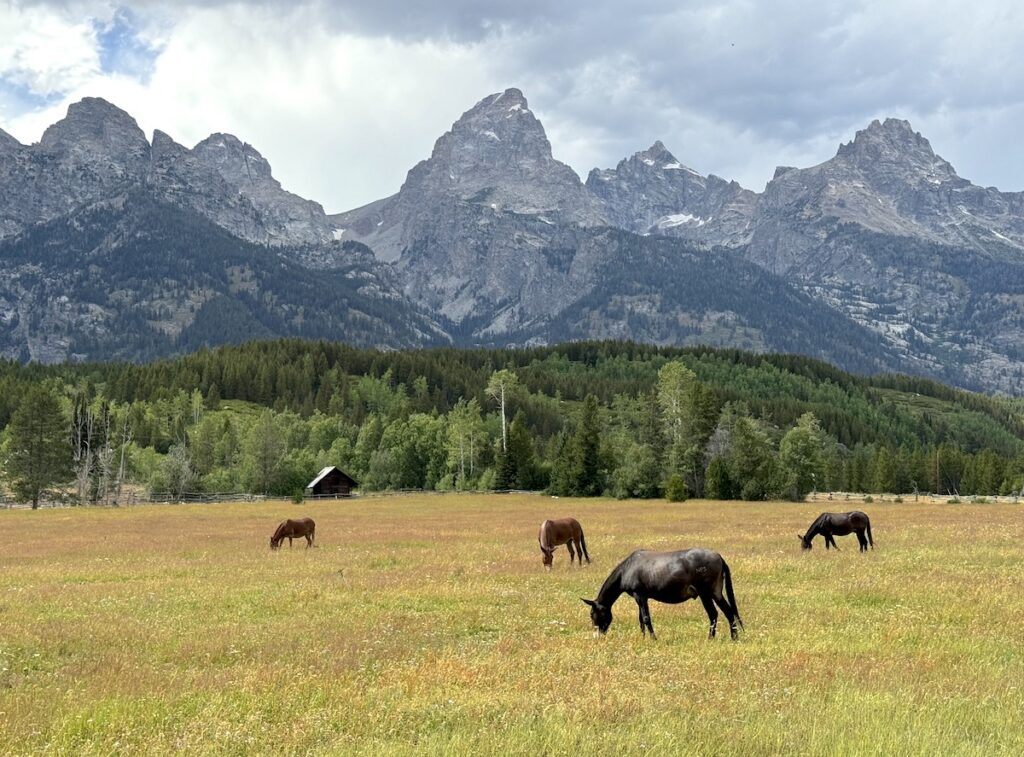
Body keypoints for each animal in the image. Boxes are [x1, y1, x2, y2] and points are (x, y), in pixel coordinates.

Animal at [582, 548, 743, 641]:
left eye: (592, 614)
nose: (596, 637)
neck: (627, 568)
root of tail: (719, 556)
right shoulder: (640, 597)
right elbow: (640, 619)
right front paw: (643, 638)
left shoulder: (640, 595)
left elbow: (646, 618)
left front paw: (653, 639)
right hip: (716, 592)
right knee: (728, 612)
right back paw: (733, 638)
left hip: (705, 593)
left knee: (714, 614)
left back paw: (711, 638)